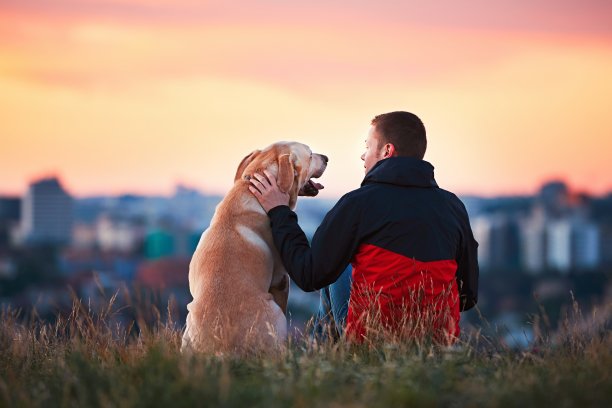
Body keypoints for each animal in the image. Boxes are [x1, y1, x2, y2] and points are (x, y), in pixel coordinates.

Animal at [180, 140, 328, 354]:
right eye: (309, 155)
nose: (326, 158)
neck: (250, 190)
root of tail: (221, 348)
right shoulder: (281, 279)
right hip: (275, 313)